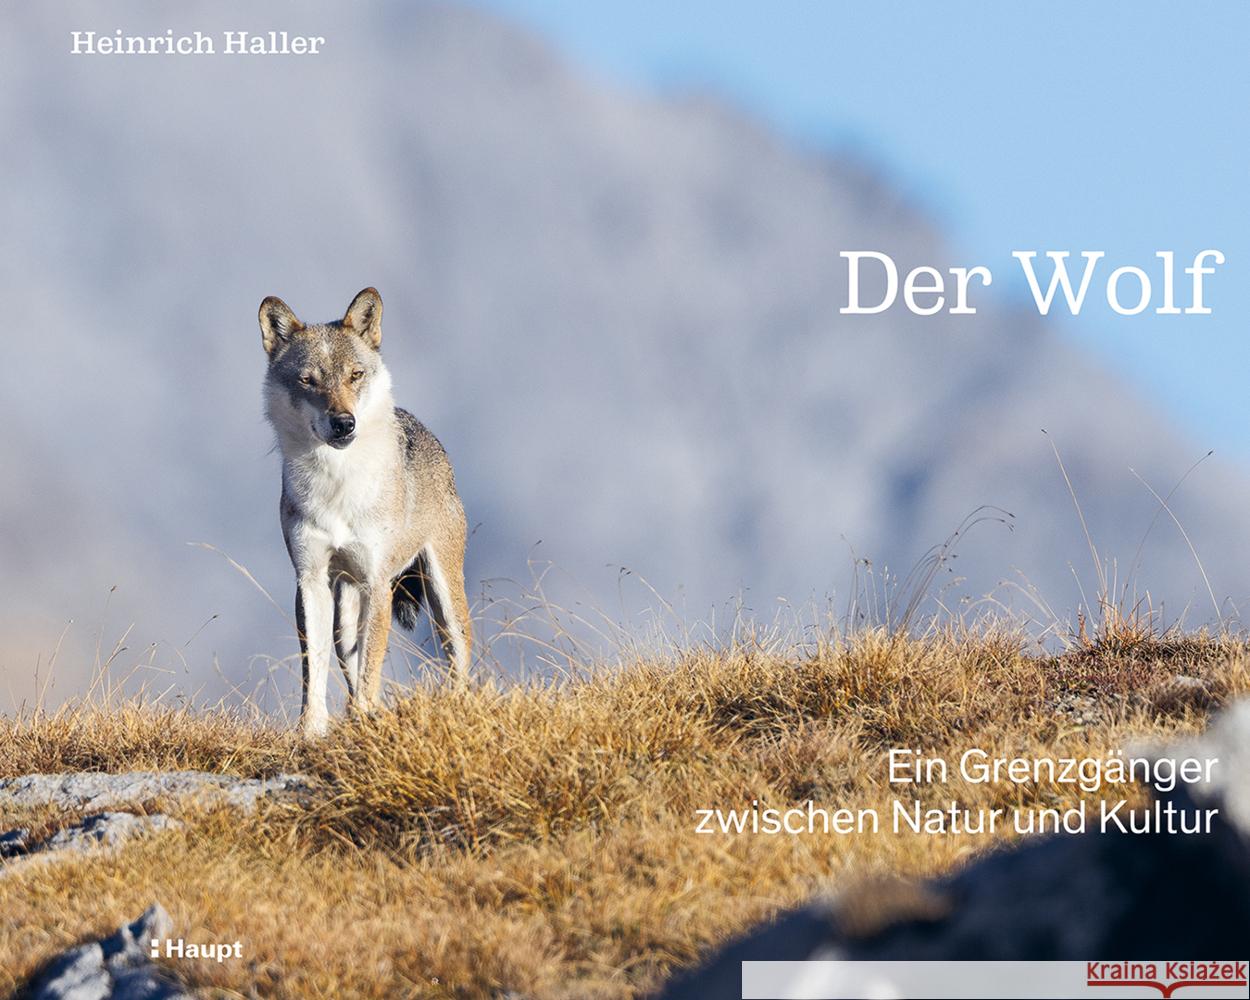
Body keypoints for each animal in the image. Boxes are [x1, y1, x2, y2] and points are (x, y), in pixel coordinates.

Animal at [259, 288, 471, 737]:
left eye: (355, 375)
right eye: (308, 380)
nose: (344, 423)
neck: (337, 484)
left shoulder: (378, 583)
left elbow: (373, 664)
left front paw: (364, 717)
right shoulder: (310, 580)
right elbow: (313, 669)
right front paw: (312, 730)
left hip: (443, 595)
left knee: (460, 661)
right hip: (344, 606)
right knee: (348, 662)